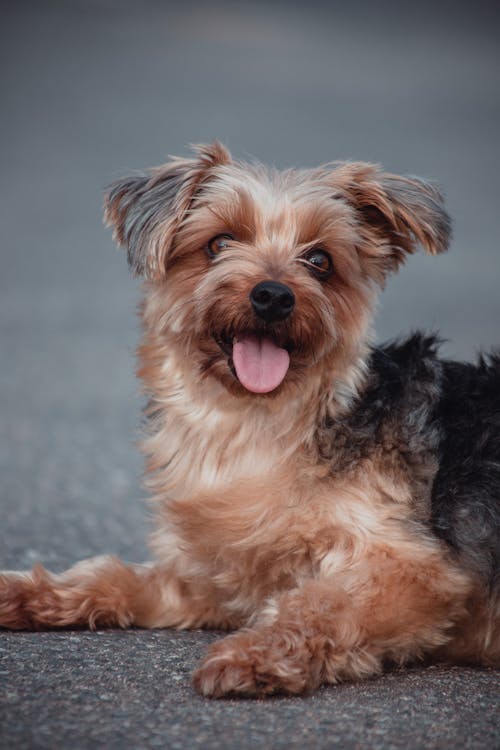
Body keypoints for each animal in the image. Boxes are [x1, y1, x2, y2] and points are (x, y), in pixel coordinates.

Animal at [0, 142, 500, 700]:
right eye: (218, 243)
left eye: (320, 261)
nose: (274, 295)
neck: (259, 424)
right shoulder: (224, 576)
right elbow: (117, 575)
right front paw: (29, 590)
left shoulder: (414, 569)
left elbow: (321, 604)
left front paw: (256, 653)